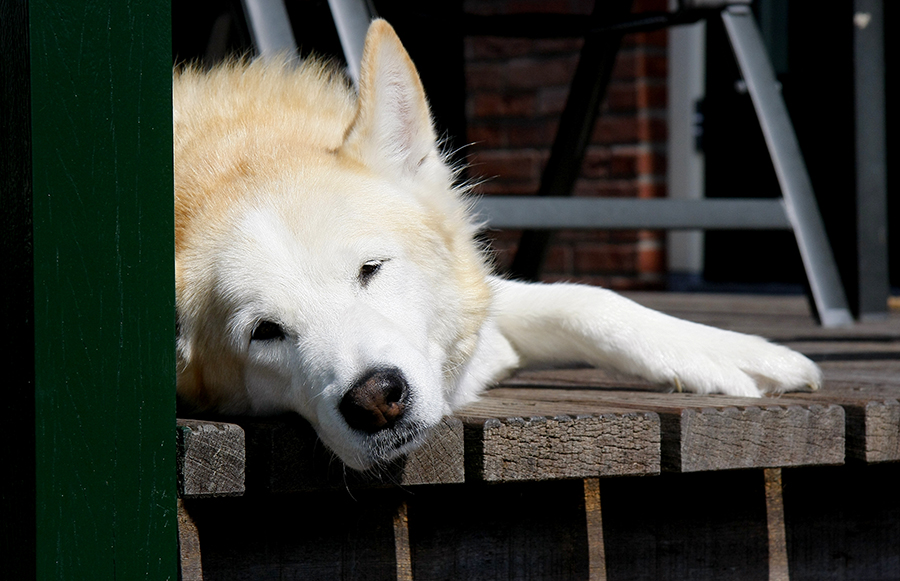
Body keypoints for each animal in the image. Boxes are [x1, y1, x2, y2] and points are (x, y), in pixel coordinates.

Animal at [174, 19, 824, 472]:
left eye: (371, 268)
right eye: (264, 333)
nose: (377, 400)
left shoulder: (478, 297)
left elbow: (590, 301)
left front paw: (734, 353)